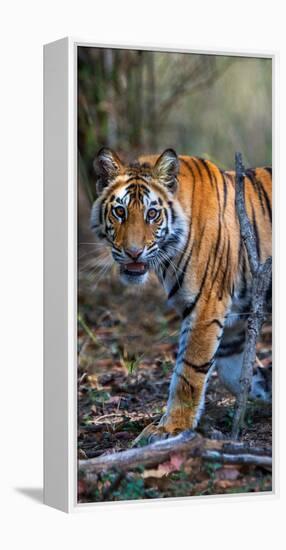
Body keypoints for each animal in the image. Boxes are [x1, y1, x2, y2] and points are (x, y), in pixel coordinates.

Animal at [90, 148, 272, 444]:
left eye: (152, 214)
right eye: (119, 211)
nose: (133, 253)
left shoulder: (206, 307)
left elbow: (188, 372)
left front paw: (170, 429)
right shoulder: (233, 322)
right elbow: (236, 374)